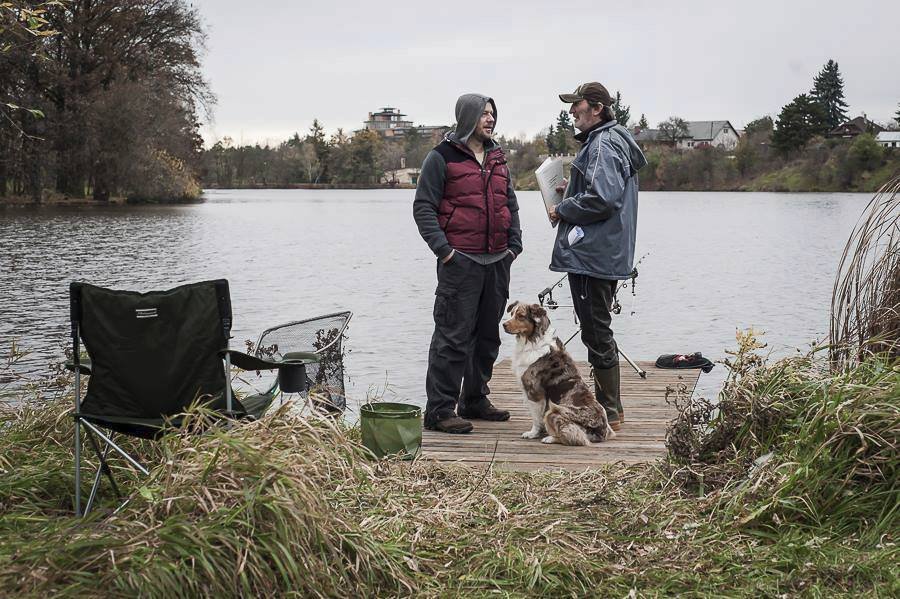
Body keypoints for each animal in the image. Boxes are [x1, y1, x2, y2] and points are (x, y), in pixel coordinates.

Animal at [502, 300, 616, 446]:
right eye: (511, 313)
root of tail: (600, 430)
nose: (503, 325)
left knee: (575, 437)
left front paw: (533, 433)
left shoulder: (534, 392)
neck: (533, 340)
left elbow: (536, 418)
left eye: (521, 316)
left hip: (554, 411)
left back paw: (550, 438)